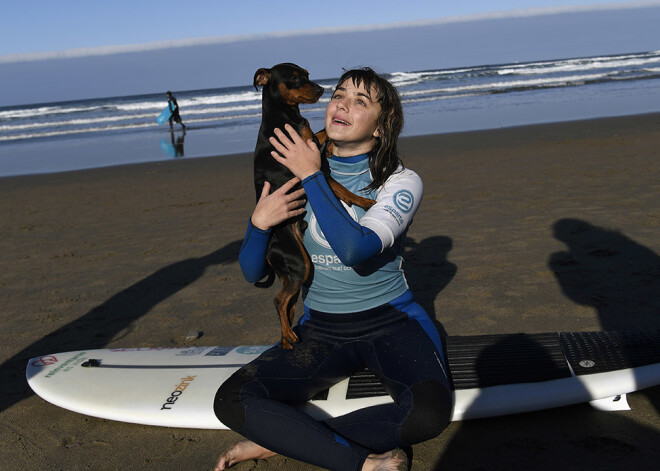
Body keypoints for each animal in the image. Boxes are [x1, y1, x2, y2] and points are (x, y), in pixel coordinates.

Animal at [253, 62, 374, 348]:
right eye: (294, 77)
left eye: (307, 74)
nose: (321, 89)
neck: (283, 117)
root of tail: (270, 251)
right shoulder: (310, 168)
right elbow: (341, 188)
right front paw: (364, 201)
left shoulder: (310, 149)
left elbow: (322, 133)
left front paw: (330, 143)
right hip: (300, 264)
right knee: (279, 301)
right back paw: (288, 335)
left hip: (294, 272)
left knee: (287, 305)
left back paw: (287, 338)